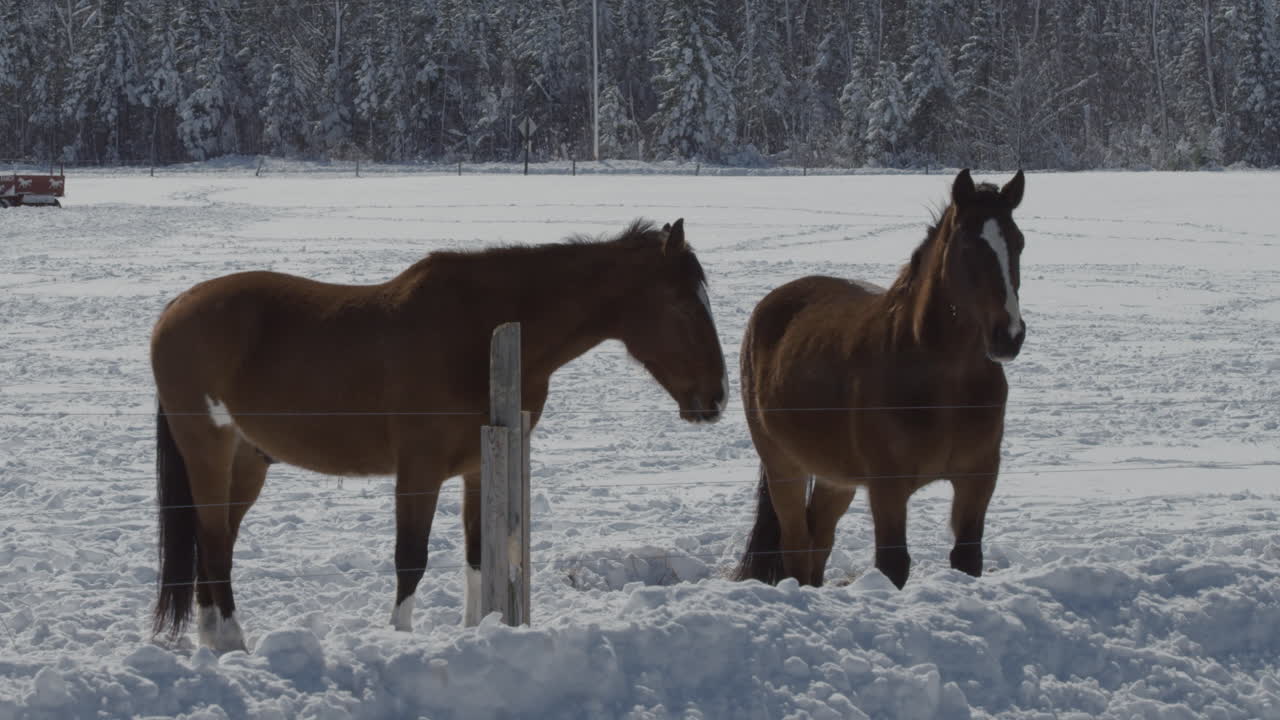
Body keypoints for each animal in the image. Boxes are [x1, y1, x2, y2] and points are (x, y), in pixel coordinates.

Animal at [150, 218, 728, 651]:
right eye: (681, 304)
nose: (717, 397)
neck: (479, 332)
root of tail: (175, 309)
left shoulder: (478, 466)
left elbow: (477, 553)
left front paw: (476, 629)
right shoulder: (419, 469)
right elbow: (411, 557)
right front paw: (399, 639)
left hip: (248, 461)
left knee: (215, 540)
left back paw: (214, 640)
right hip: (209, 451)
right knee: (214, 540)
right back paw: (232, 641)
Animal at [734, 169, 1026, 590]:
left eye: (1018, 242)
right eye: (969, 246)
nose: (1009, 336)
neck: (945, 383)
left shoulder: (979, 477)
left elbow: (967, 558)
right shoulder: (888, 487)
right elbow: (893, 565)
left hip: (835, 478)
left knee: (818, 541)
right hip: (783, 466)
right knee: (797, 546)